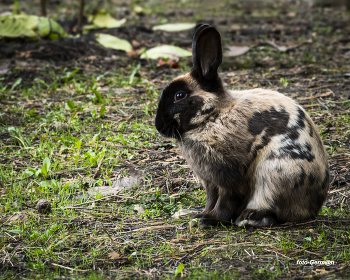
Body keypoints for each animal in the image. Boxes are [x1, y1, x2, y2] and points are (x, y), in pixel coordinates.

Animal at [154, 23, 330, 226]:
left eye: (179, 95)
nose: (158, 126)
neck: (212, 115)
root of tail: (313, 207)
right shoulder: (210, 181)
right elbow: (211, 199)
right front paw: (201, 216)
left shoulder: (228, 175)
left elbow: (225, 200)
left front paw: (210, 219)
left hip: (275, 174)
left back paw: (249, 218)